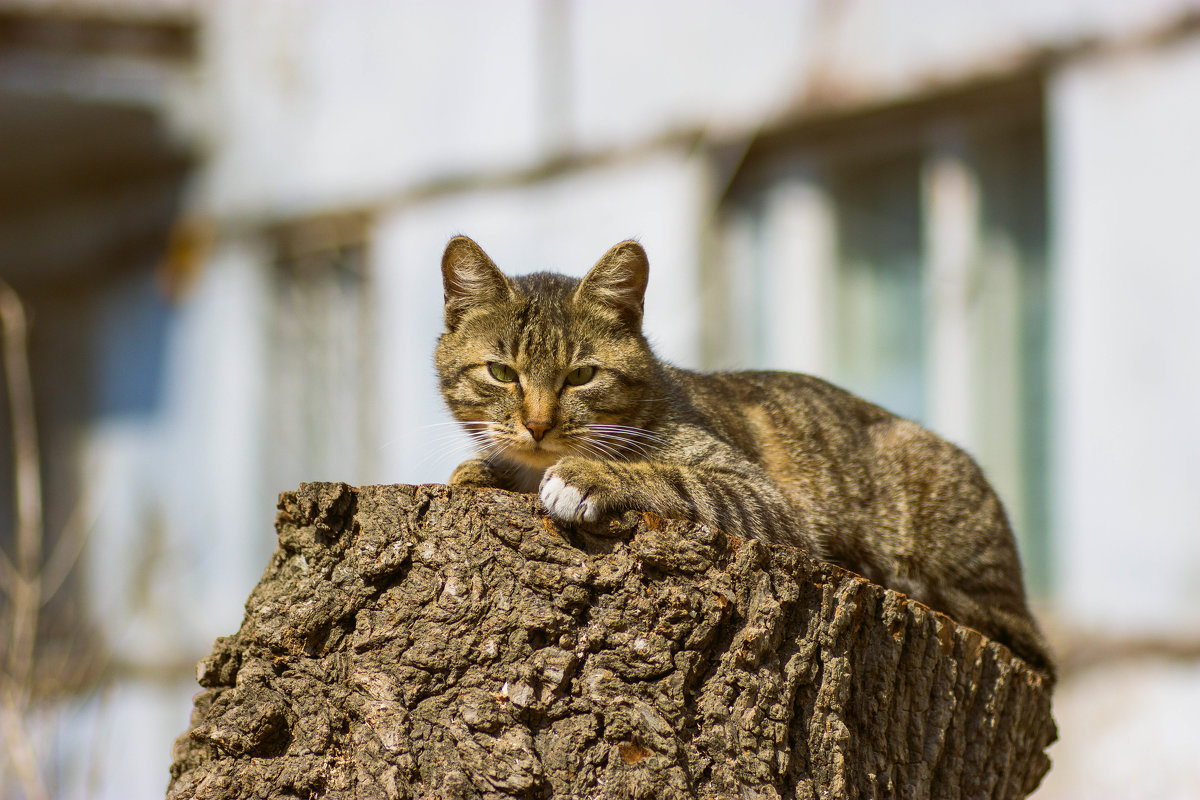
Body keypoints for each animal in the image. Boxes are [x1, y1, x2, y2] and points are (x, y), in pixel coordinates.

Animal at [436, 235, 1056, 681]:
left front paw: (585, 476)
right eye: (502, 372)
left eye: (582, 375)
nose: (538, 425)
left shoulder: (764, 499)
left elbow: (673, 476)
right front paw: (476, 470)